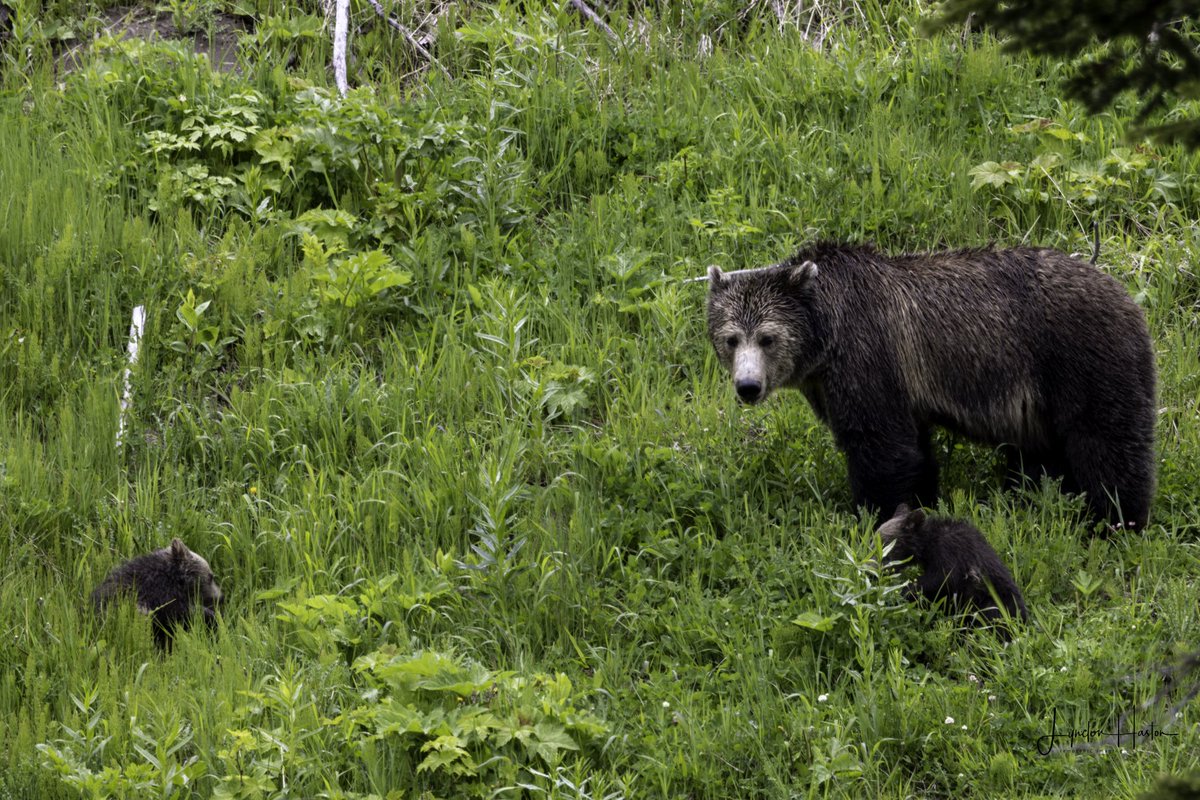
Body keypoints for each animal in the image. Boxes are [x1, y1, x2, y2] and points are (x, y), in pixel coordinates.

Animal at [705, 242, 1157, 530]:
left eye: (767, 337)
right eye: (731, 338)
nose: (748, 386)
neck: (825, 335)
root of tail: (1125, 294)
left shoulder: (869, 354)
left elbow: (882, 446)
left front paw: (874, 514)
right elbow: (914, 451)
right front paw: (921, 500)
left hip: (1081, 359)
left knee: (1106, 441)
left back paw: (1116, 519)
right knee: (1043, 456)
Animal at [877, 504, 1029, 628]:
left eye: (886, 545)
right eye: (873, 540)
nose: (873, 572)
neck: (928, 546)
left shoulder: (949, 558)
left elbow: (941, 579)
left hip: (992, 605)